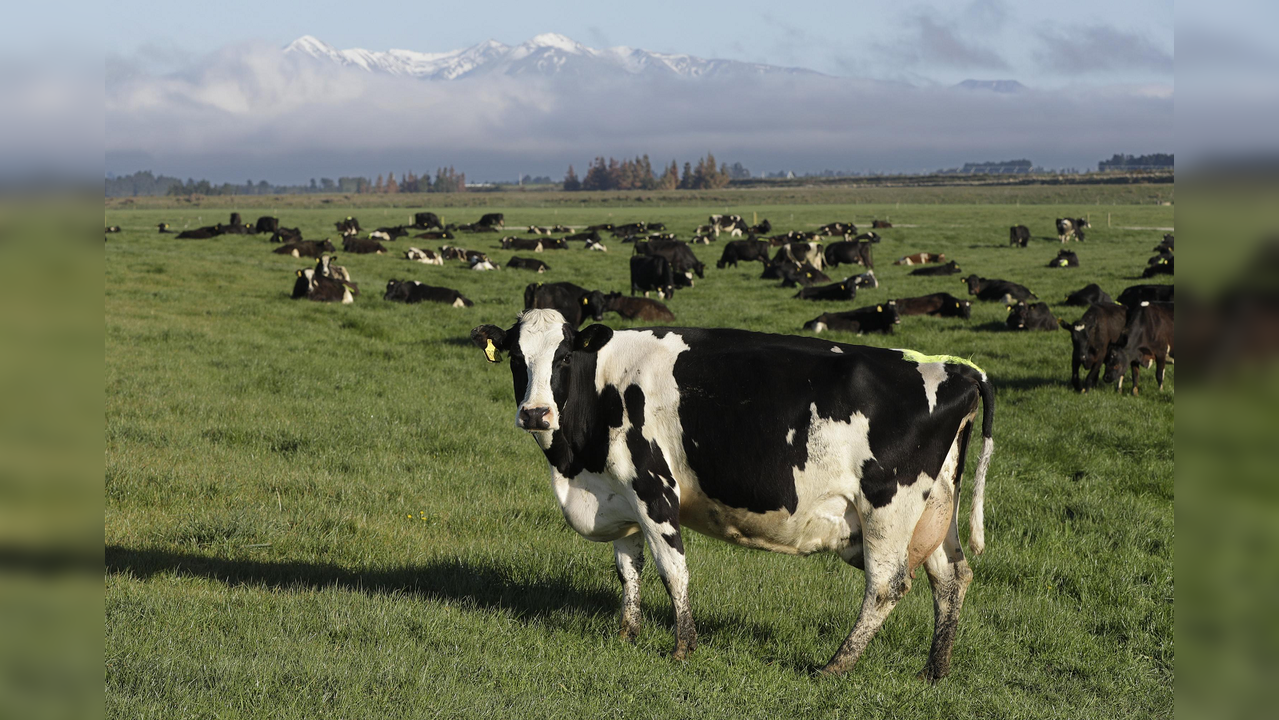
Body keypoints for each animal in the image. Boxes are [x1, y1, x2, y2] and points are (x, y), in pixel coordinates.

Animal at [470, 310, 997, 680]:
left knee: (887, 585)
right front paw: (627, 635)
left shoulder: (653, 489)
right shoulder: (618, 495)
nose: (536, 413)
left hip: (888, 505)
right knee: (952, 579)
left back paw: (835, 666)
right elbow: (628, 570)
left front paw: (682, 648)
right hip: (934, 509)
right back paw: (934, 670)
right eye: (516, 359)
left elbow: (672, 570)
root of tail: (956, 368)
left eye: (562, 358)